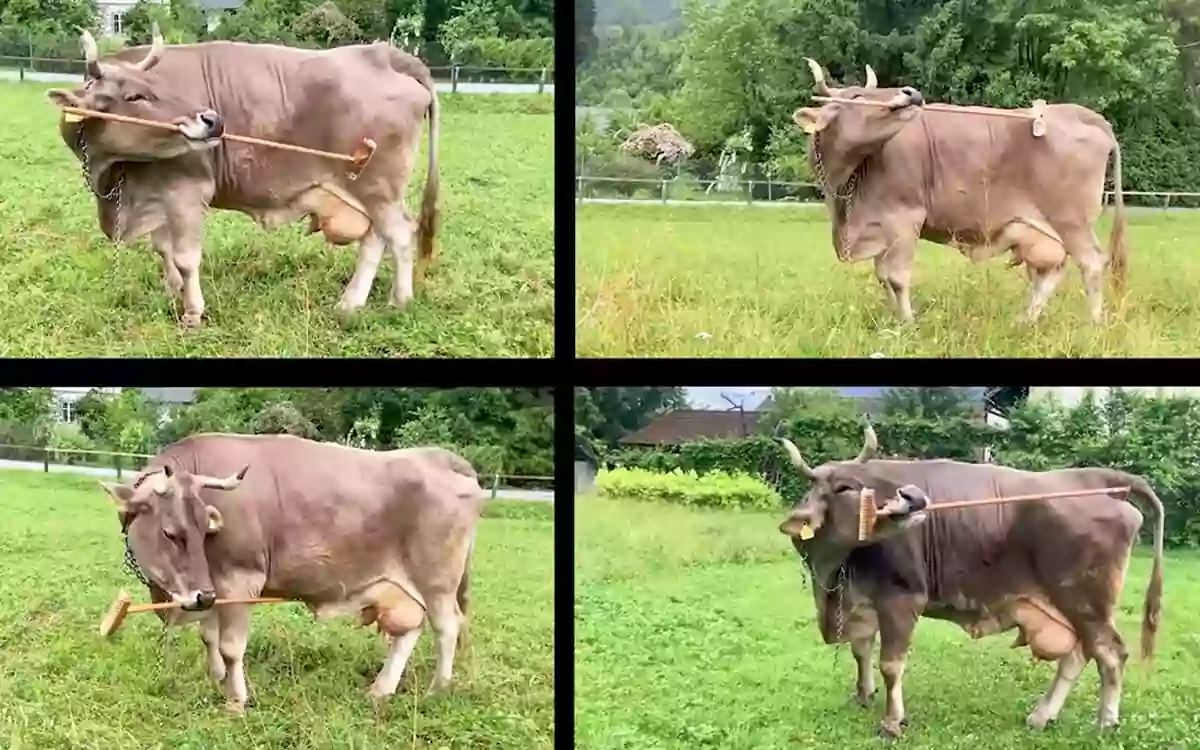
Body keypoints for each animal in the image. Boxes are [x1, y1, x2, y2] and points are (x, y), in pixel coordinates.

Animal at [46, 25, 439, 328]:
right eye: (133, 96)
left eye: (153, 87)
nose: (212, 120)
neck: (114, 179)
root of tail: (385, 54)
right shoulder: (157, 194)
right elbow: (164, 249)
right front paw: (171, 292)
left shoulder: (187, 191)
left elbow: (186, 258)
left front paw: (192, 312)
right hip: (368, 193)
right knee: (375, 239)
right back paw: (350, 304)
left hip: (379, 187)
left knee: (400, 234)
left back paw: (400, 301)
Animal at [98, 433, 483, 713]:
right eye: (171, 533)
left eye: (202, 530)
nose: (201, 596)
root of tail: (440, 457)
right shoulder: (213, 589)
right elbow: (209, 637)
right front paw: (217, 680)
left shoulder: (240, 580)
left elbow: (231, 647)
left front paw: (236, 701)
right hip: (403, 588)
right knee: (409, 631)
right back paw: (381, 689)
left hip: (438, 582)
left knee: (446, 628)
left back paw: (437, 690)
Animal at [776, 422, 1164, 739]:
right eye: (843, 487)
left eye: (868, 481)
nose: (912, 496)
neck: (832, 573)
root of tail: (1097, 480)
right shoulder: (861, 601)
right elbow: (861, 649)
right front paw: (862, 694)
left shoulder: (901, 598)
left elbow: (890, 664)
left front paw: (892, 722)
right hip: (1073, 607)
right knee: (1078, 654)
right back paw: (1042, 716)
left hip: (1086, 602)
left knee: (1110, 653)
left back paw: (1105, 721)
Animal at [792, 60, 1128, 325]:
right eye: (858, 96)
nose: (911, 92)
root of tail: (1086, 115)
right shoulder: (880, 226)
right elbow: (882, 276)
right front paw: (893, 319)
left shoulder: (905, 219)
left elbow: (897, 277)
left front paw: (908, 323)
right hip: (1044, 231)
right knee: (1051, 272)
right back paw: (1024, 321)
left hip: (1072, 221)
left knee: (1092, 263)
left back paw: (1093, 324)